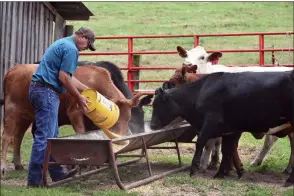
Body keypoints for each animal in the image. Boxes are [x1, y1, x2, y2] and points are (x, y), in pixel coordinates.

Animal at [0, 63, 142, 175]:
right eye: (116, 120)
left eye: (128, 119)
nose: (122, 139)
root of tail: (14, 69)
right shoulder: (74, 113)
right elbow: (81, 134)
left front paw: (94, 165)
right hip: (12, 111)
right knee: (6, 137)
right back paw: (3, 167)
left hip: (26, 116)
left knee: (18, 136)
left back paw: (18, 164)